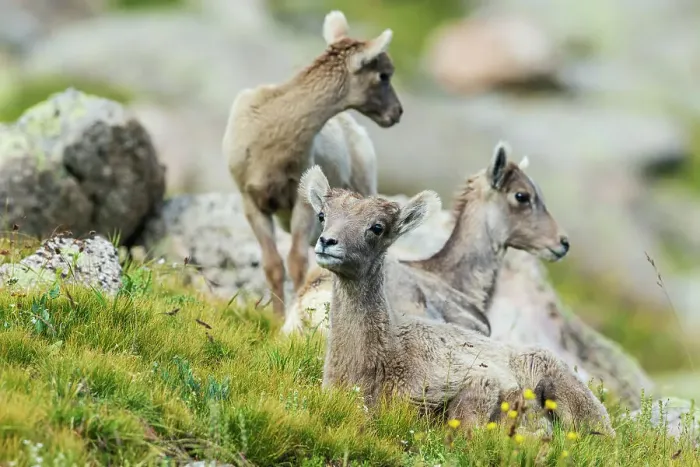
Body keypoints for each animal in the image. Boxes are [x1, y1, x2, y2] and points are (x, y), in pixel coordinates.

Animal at [223, 10, 403, 317]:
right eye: (383, 75)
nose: (397, 113)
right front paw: (276, 318)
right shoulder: (250, 199)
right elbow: (272, 264)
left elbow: (297, 262)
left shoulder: (302, 201)